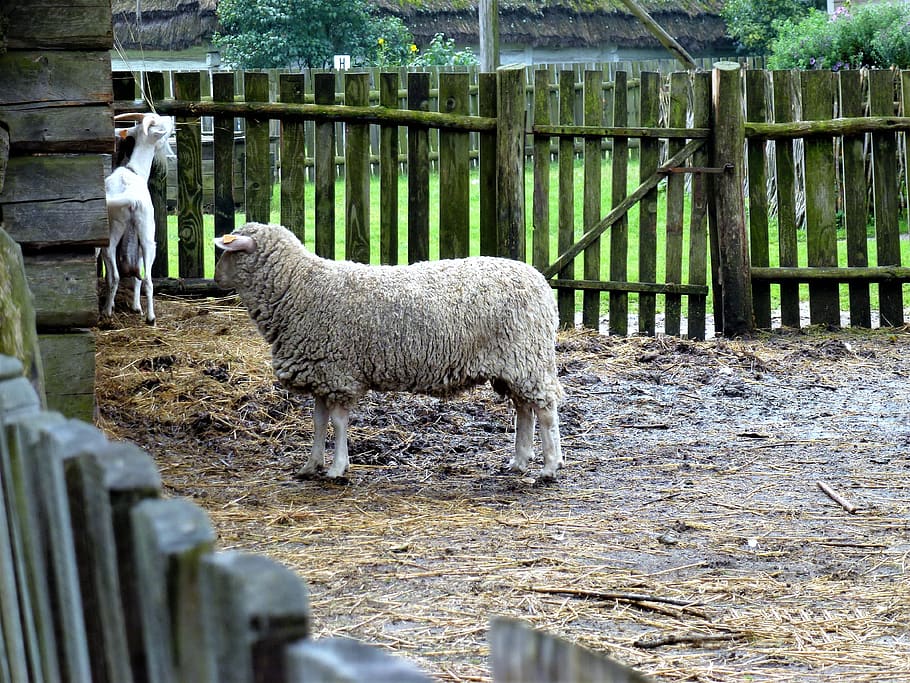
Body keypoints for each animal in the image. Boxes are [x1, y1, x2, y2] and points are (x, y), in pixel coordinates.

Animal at [103, 112, 175, 326]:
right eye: (160, 123)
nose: (171, 119)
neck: (132, 170)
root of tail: (130, 197)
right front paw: (136, 307)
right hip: (146, 234)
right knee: (146, 279)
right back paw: (149, 317)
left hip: (121, 230)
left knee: (117, 274)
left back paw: (109, 311)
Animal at [216, 222, 568, 478]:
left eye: (228, 252)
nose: (216, 278)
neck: (297, 286)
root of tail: (541, 282)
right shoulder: (322, 373)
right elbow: (318, 422)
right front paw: (310, 466)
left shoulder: (340, 373)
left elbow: (338, 423)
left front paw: (337, 468)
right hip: (514, 364)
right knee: (524, 410)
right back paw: (519, 461)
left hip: (528, 358)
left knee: (545, 411)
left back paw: (550, 467)